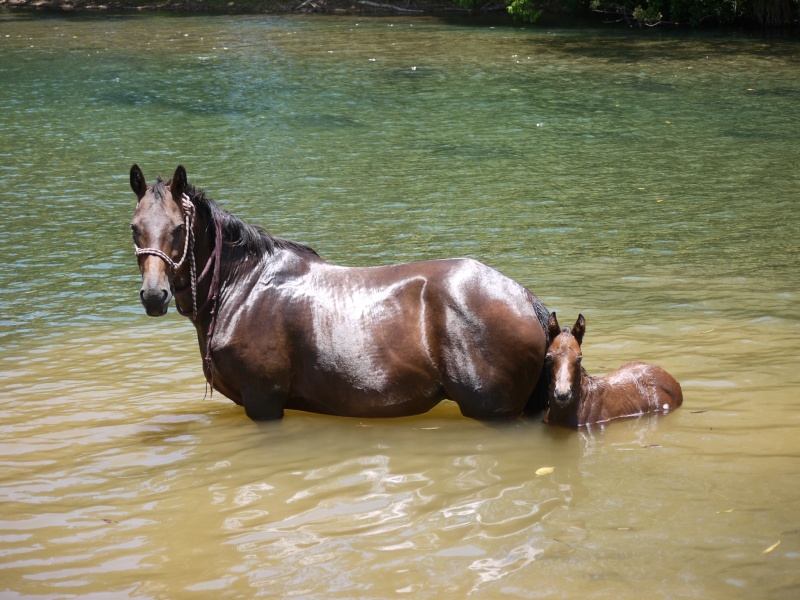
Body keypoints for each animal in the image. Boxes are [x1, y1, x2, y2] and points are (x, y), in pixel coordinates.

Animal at [131, 162, 552, 420]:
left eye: (178, 229)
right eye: (135, 228)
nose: (154, 296)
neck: (242, 287)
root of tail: (526, 298)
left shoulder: (263, 400)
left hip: (493, 411)